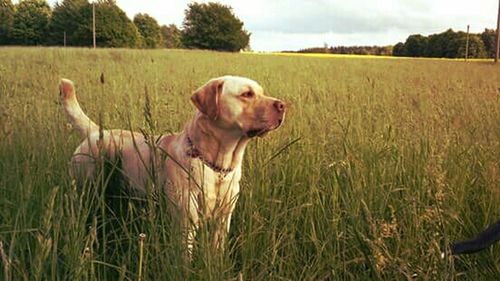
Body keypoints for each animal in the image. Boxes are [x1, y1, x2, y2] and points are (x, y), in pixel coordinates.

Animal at [58, 76, 286, 252]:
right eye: (247, 94)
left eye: (261, 92)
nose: (283, 105)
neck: (216, 166)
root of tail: (95, 132)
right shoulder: (186, 222)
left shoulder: (223, 220)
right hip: (85, 190)